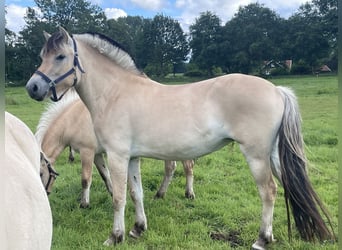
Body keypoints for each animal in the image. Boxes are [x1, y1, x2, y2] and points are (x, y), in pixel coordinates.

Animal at [24, 28, 334, 249]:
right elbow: (136, 194)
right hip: (272, 155)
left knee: (268, 191)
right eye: (41, 56)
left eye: (60, 57)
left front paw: (115, 236)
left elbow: (118, 197)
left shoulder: (115, 156)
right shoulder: (132, 157)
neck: (115, 93)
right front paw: (137, 229)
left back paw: (262, 239)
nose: (33, 87)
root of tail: (276, 89)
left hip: (256, 156)